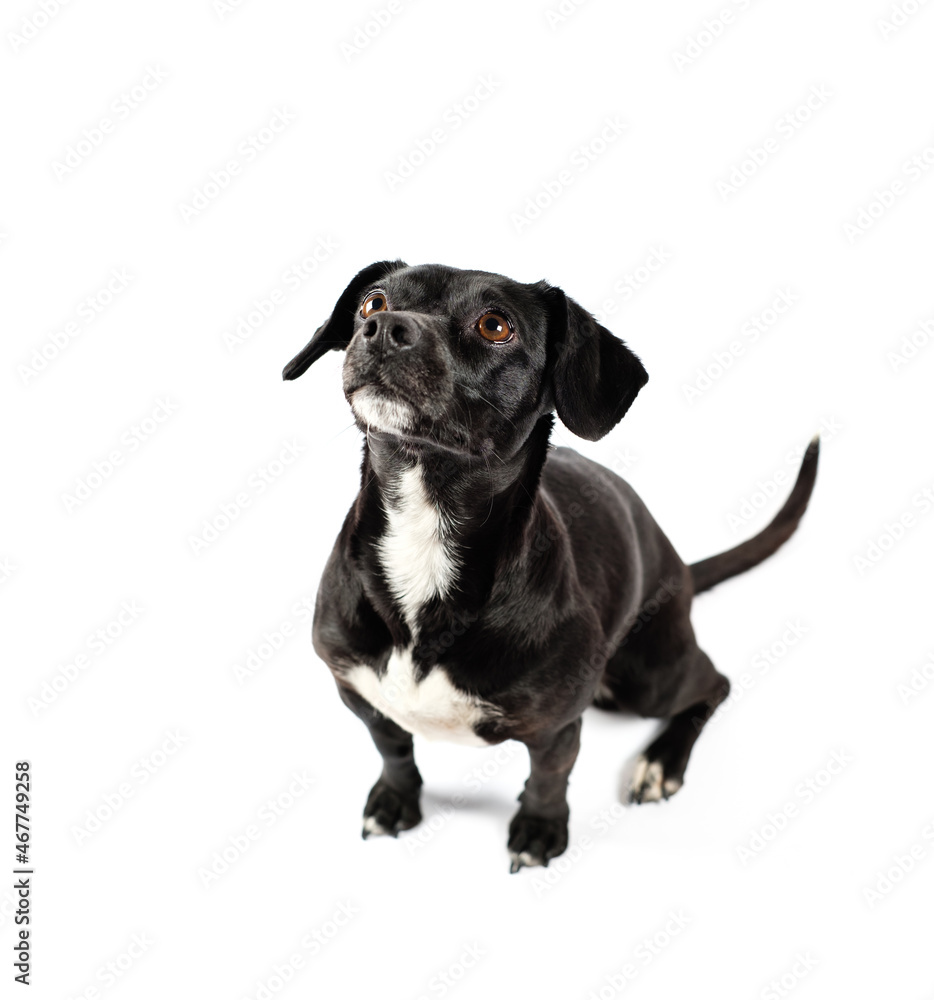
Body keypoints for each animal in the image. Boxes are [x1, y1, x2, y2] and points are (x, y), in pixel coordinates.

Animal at [284, 262, 820, 872]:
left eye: (495, 325)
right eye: (372, 303)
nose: (384, 328)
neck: (424, 534)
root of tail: (680, 567)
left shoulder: (557, 728)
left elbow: (549, 779)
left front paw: (540, 829)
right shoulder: (359, 695)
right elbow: (393, 750)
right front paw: (396, 800)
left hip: (651, 679)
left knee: (715, 684)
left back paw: (660, 763)